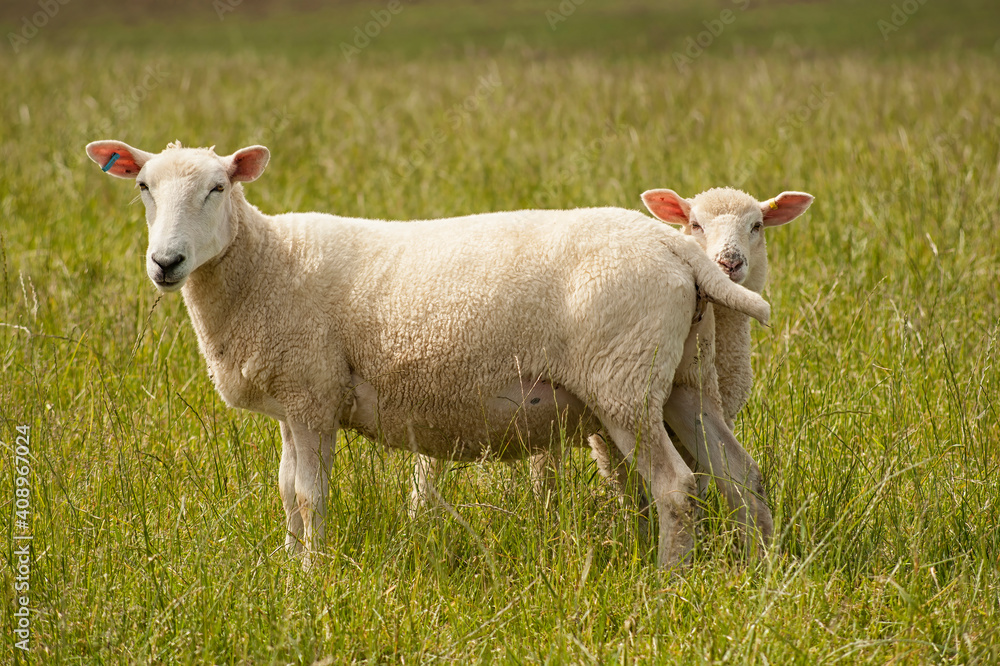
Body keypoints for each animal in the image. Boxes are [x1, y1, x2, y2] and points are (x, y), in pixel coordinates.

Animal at [85, 139, 772, 569]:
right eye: (143, 187)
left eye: (217, 187)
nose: (165, 262)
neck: (267, 263)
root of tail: (672, 248)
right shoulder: (292, 401)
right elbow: (284, 492)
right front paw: (288, 567)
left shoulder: (311, 392)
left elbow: (308, 497)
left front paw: (311, 580)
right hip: (682, 380)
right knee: (740, 473)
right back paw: (760, 568)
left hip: (623, 381)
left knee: (677, 487)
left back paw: (669, 582)